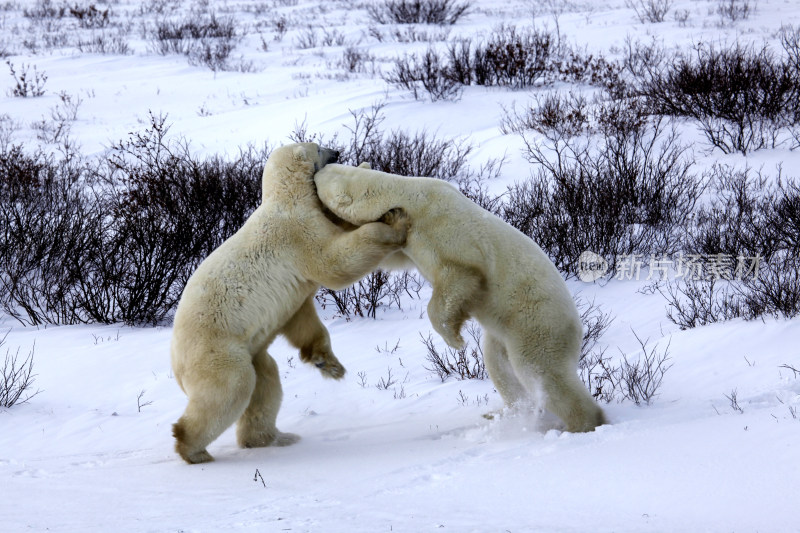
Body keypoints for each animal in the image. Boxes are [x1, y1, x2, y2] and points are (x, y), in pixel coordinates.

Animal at [168, 143, 406, 464]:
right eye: (318, 146)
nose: (337, 151)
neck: (286, 197)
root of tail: (176, 364)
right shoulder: (296, 233)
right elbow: (334, 261)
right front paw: (393, 222)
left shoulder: (295, 285)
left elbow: (302, 319)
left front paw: (329, 365)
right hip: (217, 351)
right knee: (231, 390)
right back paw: (194, 450)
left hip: (251, 352)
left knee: (265, 382)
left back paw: (275, 438)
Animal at [314, 163, 608, 432]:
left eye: (323, 177)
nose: (317, 169)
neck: (410, 195)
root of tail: (578, 326)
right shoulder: (407, 240)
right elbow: (387, 254)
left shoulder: (442, 228)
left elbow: (460, 274)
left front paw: (454, 339)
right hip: (503, 335)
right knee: (501, 367)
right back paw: (506, 412)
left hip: (536, 323)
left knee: (541, 371)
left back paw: (582, 423)